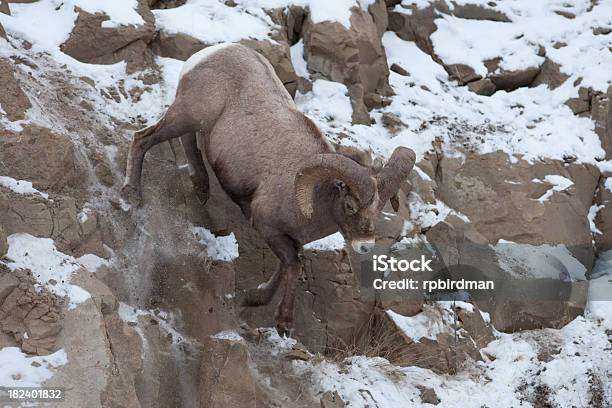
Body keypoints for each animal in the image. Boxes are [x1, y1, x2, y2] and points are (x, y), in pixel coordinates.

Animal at [120, 43, 416, 334]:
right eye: (350, 205)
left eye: (378, 209)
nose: (365, 246)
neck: (312, 202)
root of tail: (209, 53)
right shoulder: (267, 227)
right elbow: (293, 266)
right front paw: (283, 322)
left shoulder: (290, 239)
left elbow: (285, 267)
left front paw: (254, 299)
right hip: (184, 115)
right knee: (143, 139)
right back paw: (132, 194)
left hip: (194, 122)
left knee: (188, 143)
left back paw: (201, 188)